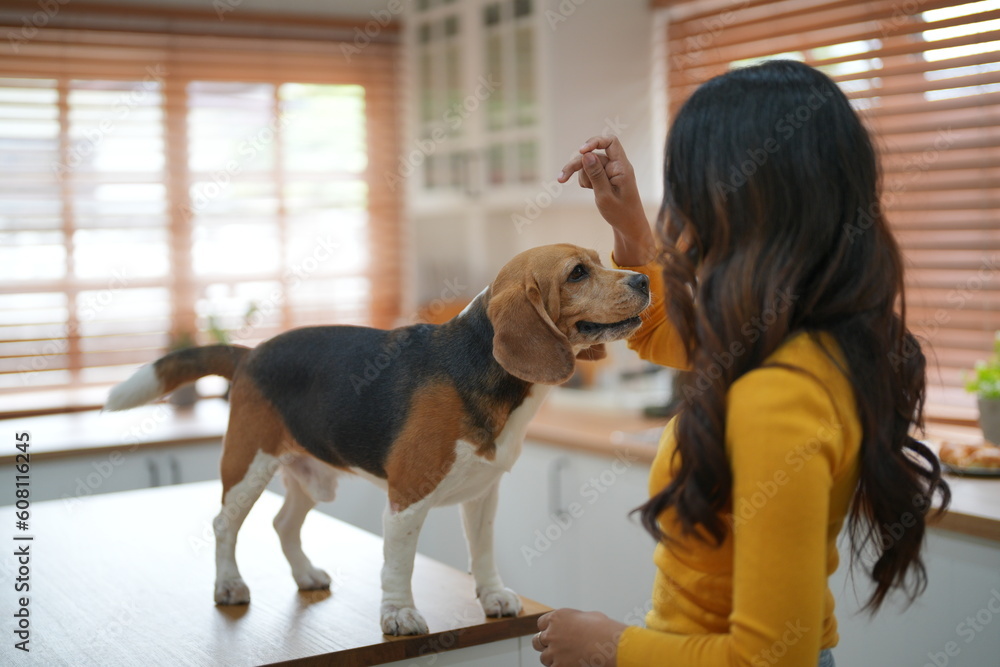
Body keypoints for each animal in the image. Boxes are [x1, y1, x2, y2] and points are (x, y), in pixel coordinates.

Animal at [107, 244, 648, 636]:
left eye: (602, 259)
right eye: (578, 272)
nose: (643, 278)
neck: (482, 365)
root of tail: (250, 354)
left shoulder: (482, 493)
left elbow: (483, 552)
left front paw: (492, 596)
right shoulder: (407, 498)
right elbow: (398, 566)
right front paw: (399, 615)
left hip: (314, 476)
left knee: (284, 523)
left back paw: (305, 575)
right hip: (247, 466)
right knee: (224, 525)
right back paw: (229, 584)